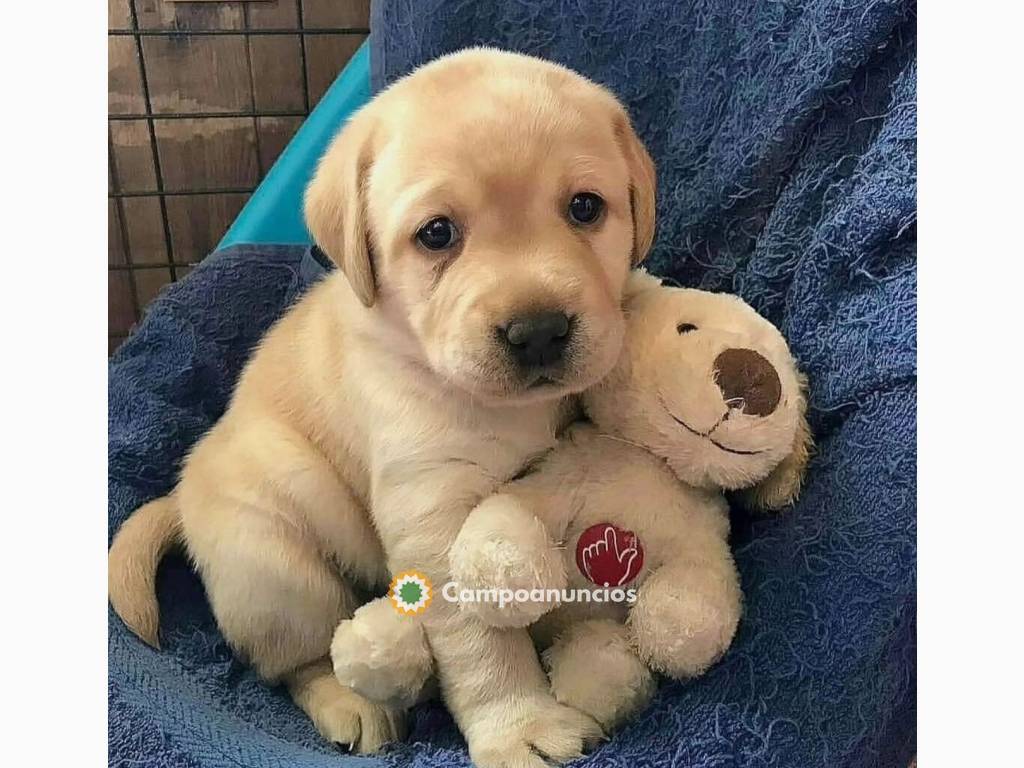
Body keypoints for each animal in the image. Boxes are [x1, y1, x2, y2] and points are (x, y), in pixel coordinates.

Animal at [110, 49, 655, 768]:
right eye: (437, 234)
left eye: (586, 207)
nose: (538, 331)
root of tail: (179, 499)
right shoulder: (433, 506)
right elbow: (484, 643)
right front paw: (521, 727)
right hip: (278, 567)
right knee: (297, 662)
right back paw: (352, 704)